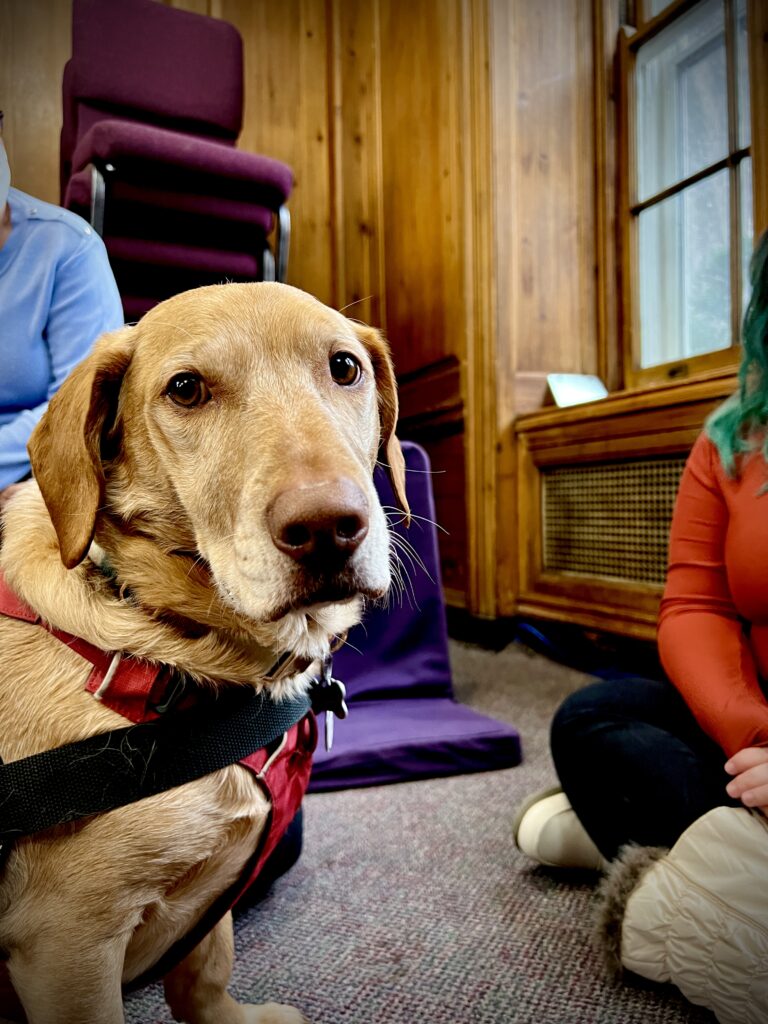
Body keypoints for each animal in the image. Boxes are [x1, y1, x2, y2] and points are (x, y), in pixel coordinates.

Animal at [0, 284, 409, 1024]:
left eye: (344, 368)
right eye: (186, 389)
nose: (328, 528)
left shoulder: (211, 897)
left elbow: (205, 971)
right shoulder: (66, 941)